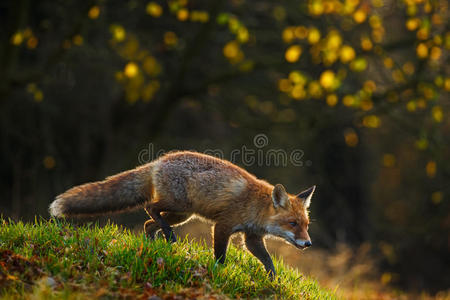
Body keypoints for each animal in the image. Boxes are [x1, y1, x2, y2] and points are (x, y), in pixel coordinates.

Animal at [49, 151, 314, 278]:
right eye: (292, 223)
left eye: (305, 225)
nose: (308, 243)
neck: (255, 206)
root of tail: (159, 161)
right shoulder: (223, 226)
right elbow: (220, 257)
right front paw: (218, 272)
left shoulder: (252, 237)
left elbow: (268, 262)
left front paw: (273, 281)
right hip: (179, 205)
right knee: (150, 208)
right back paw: (167, 237)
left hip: (182, 214)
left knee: (148, 223)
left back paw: (155, 244)